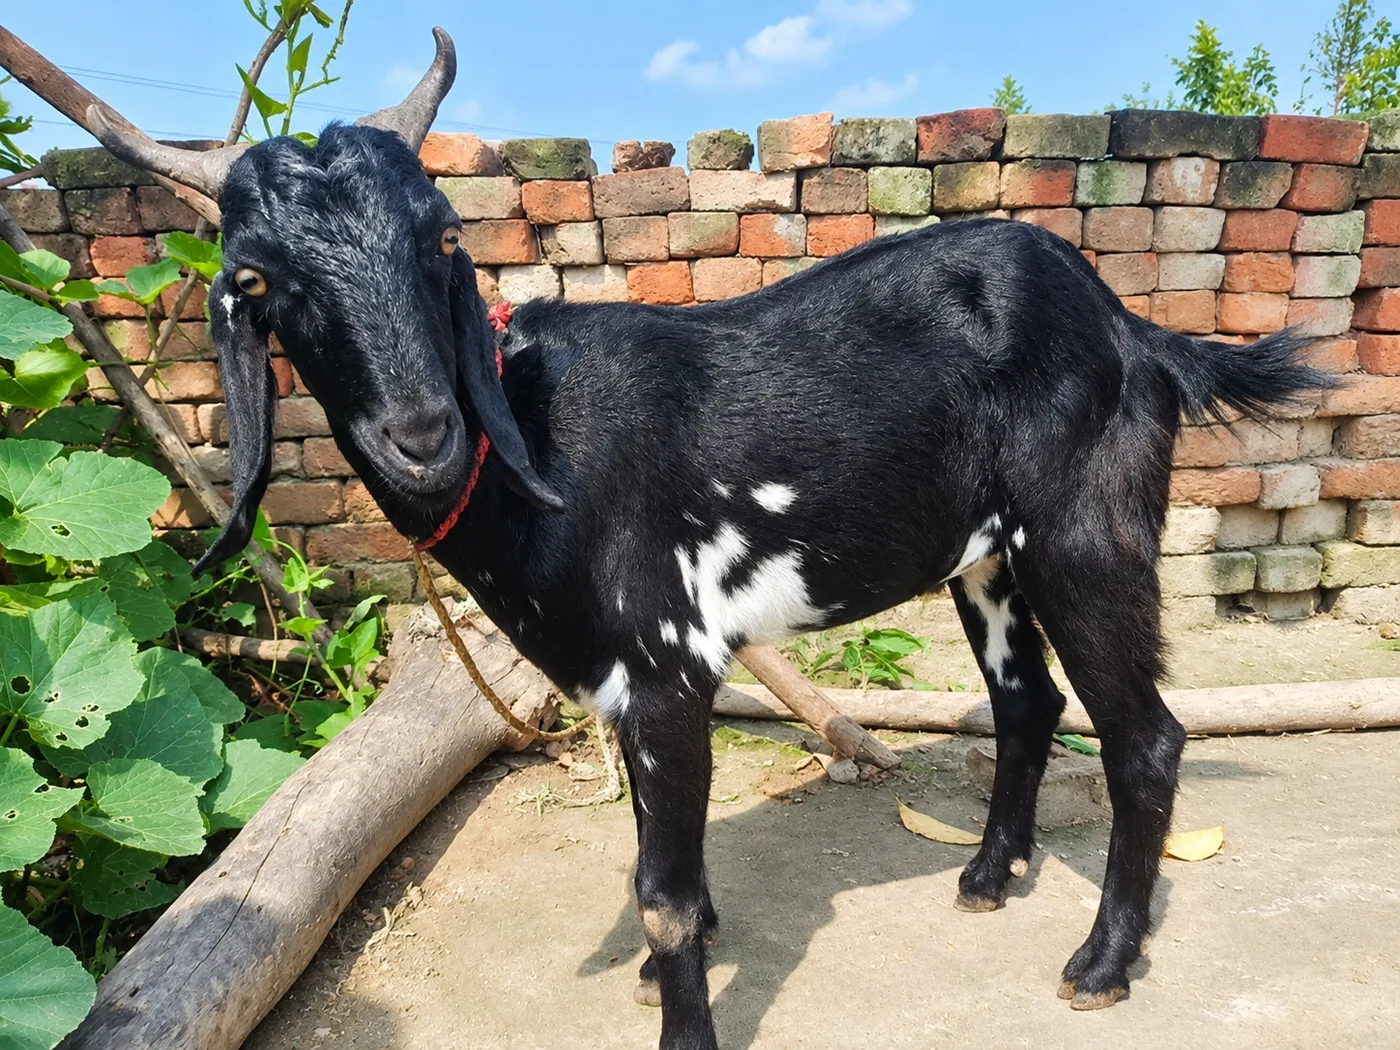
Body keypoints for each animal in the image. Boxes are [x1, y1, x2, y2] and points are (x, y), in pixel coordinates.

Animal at [92, 29, 1328, 1050]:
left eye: (438, 237)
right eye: (258, 278)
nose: (422, 435)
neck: (533, 442)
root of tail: (1129, 325)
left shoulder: (667, 665)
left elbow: (665, 893)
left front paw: (682, 1019)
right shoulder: (616, 686)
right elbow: (649, 849)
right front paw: (655, 977)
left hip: (1085, 533)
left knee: (1144, 736)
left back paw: (1102, 962)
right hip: (986, 558)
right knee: (1026, 699)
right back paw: (986, 874)